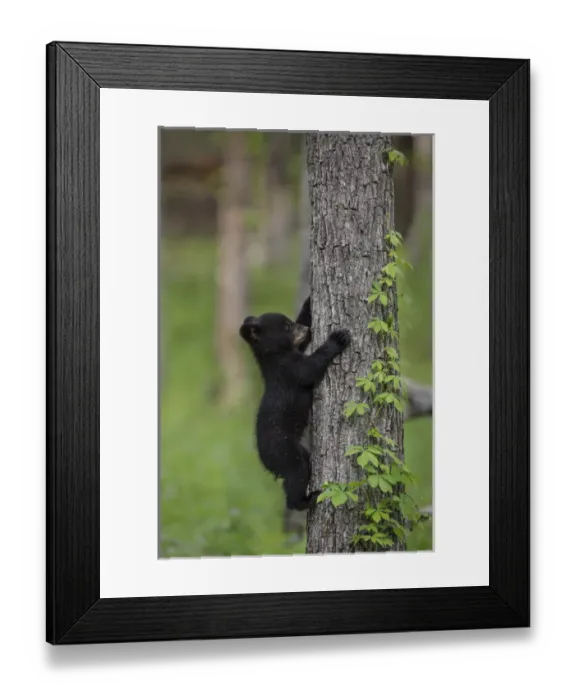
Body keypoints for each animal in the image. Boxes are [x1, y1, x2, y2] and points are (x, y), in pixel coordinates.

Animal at [239, 296, 351, 511]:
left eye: (290, 321)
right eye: (287, 326)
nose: (306, 330)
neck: (275, 356)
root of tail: (264, 461)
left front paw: (309, 303)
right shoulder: (290, 369)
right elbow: (311, 367)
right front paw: (338, 338)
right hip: (284, 451)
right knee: (296, 474)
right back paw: (307, 500)